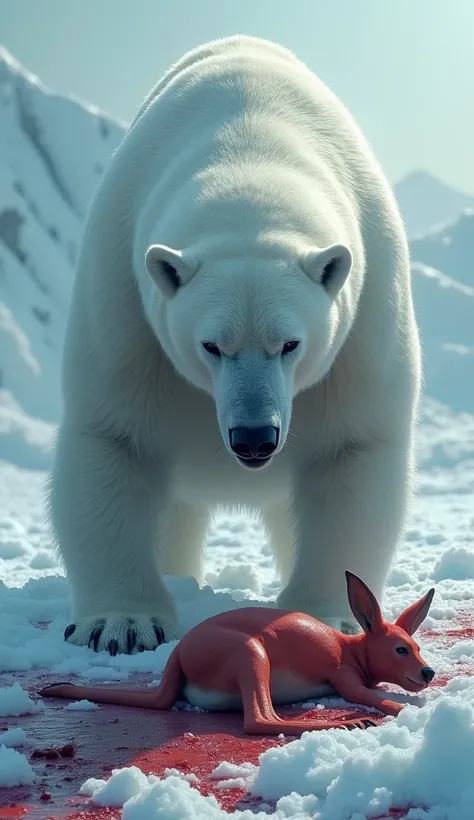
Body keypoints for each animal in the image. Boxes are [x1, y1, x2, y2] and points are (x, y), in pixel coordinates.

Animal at [50, 35, 420, 656]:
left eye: (290, 343)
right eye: (211, 345)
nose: (253, 437)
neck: (253, 146)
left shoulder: (362, 327)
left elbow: (350, 451)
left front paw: (327, 615)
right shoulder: (127, 306)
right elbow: (115, 439)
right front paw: (122, 624)